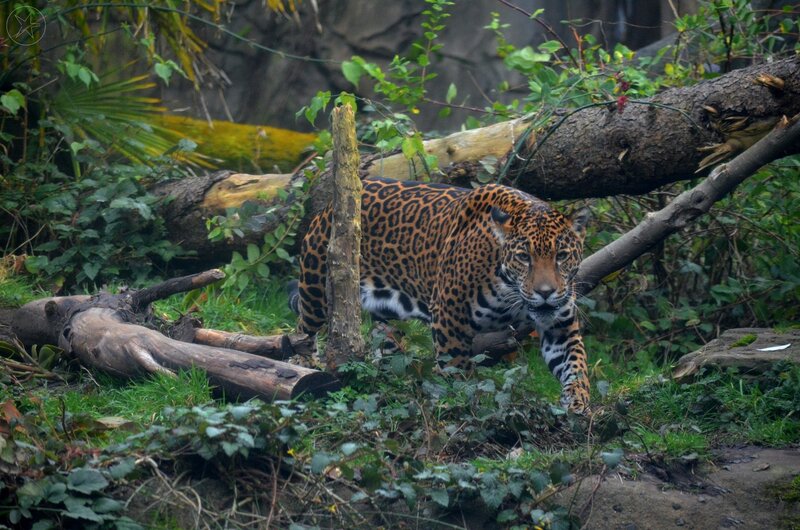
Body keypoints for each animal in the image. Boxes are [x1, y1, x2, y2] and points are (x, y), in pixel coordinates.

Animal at [291, 177, 591, 413]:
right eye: (524, 257)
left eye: (562, 255)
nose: (545, 293)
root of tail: (332, 204)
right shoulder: (450, 316)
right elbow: (457, 370)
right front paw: (468, 404)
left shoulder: (560, 327)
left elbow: (576, 365)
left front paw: (578, 403)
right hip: (316, 286)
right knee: (304, 327)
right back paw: (303, 364)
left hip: (386, 314)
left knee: (386, 342)